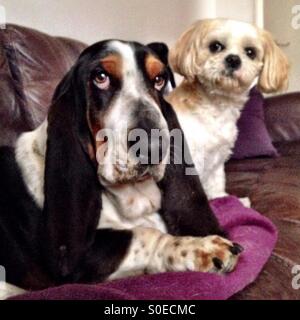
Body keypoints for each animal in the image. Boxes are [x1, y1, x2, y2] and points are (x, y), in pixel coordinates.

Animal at [168, 18, 290, 206]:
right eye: (215, 46)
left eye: (250, 52)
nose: (233, 59)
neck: (216, 106)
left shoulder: (217, 159)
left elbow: (216, 185)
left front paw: (222, 200)